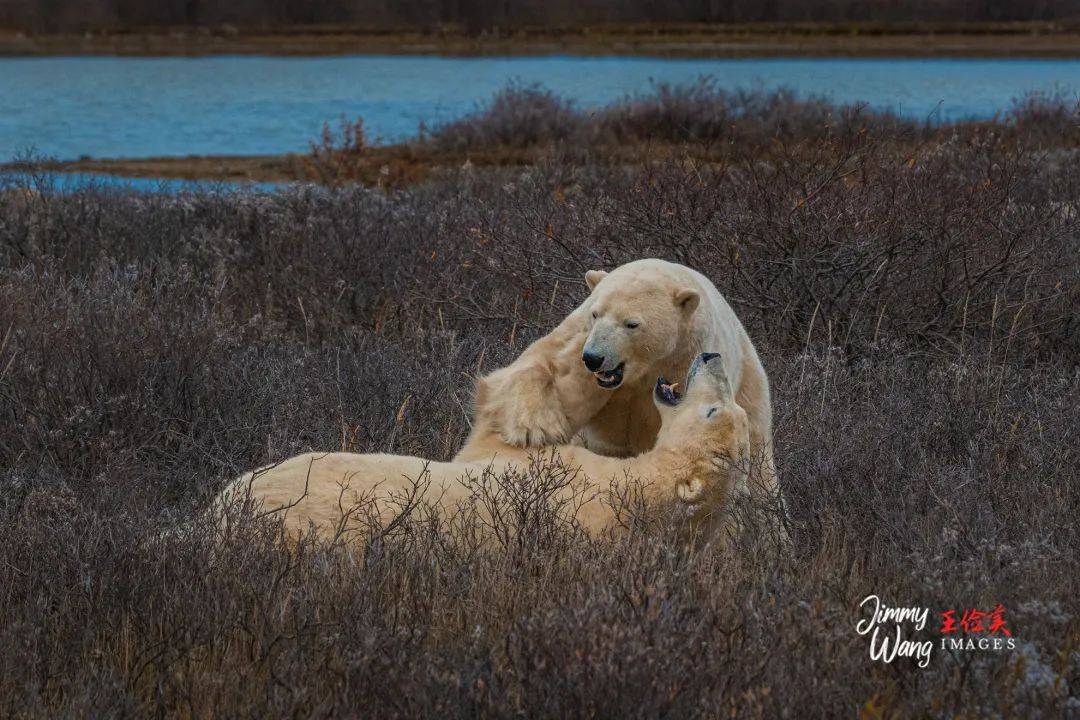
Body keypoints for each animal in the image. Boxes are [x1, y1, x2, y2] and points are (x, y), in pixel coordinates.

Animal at [455, 260, 777, 507]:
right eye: (596, 313)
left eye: (631, 323)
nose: (593, 358)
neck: (642, 372)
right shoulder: (578, 335)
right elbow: (535, 366)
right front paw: (535, 427)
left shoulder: (681, 364)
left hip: (752, 390)